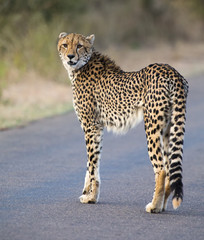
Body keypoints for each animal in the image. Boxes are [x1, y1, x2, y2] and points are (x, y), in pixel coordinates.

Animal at [57, 32, 188, 214]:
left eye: (79, 46)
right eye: (65, 44)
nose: (70, 56)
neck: (82, 65)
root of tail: (171, 70)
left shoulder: (90, 126)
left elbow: (92, 164)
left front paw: (91, 197)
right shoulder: (97, 127)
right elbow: (91, 163)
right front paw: (87, 193)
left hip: (152, 126)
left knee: (161, 168)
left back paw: (154, 206)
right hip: (170, 126)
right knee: (169, 167)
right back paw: (162, 205)